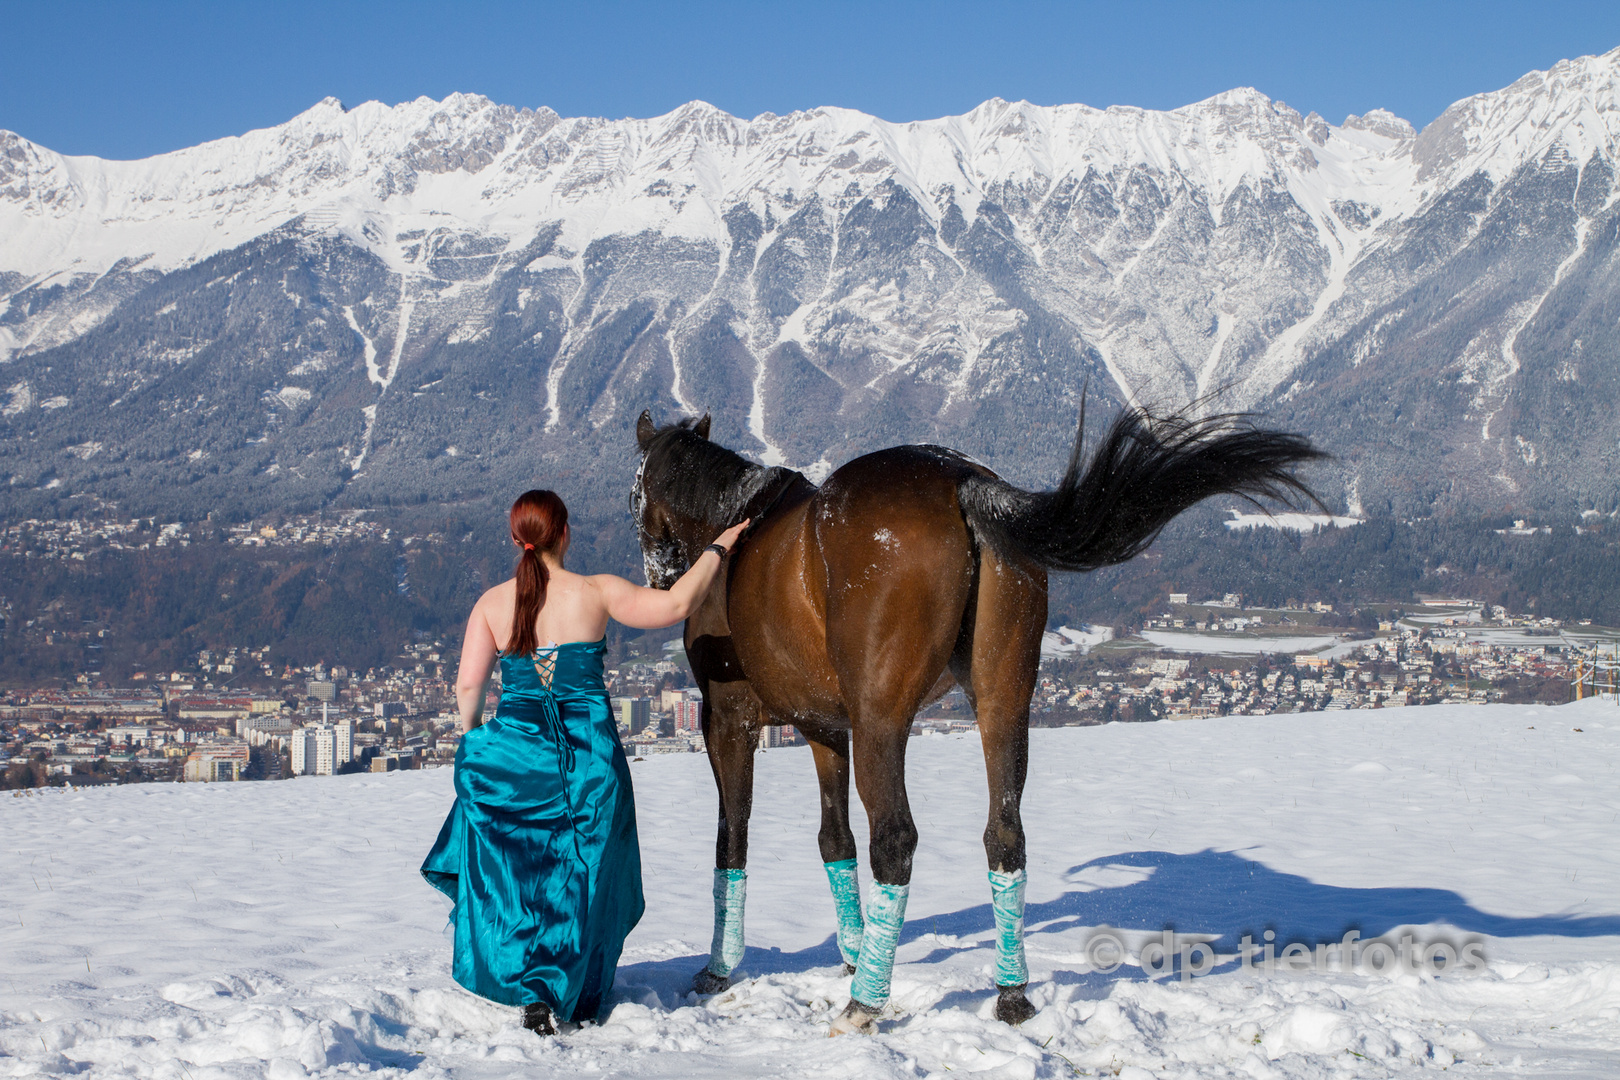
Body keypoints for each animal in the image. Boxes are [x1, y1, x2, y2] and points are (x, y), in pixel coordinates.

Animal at [625, 408, 1321, 1036]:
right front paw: (851, 950)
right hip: (1003, 701)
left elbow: (733, 839)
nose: (660, 576)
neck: (733, 526)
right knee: (1004, 834)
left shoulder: (730, 720)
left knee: (895, 840)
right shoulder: (823, 726)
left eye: (635, 493)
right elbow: (833, 840)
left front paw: (722, 966)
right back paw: (1009, 992)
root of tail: (962, 482)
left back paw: (866, 1002)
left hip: (883, 721)